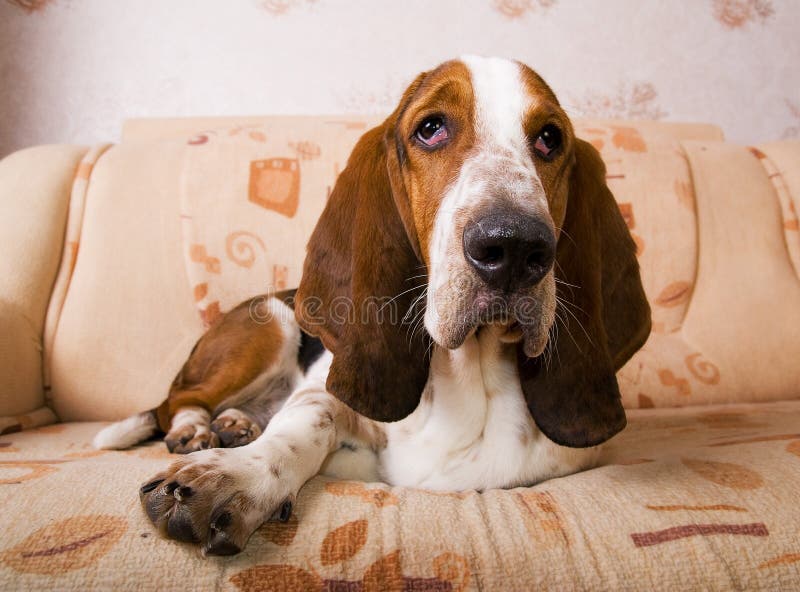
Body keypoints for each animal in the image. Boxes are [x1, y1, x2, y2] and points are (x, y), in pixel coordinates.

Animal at [97, 54, 652, 556]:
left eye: (550, 139)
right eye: (430, 128)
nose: (514, 246)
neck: (474, 379)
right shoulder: (323, 390)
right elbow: (308, 422)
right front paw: (238, 476)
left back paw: (235, 425)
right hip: (271, 325)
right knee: (177, 400)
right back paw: (198, 430)